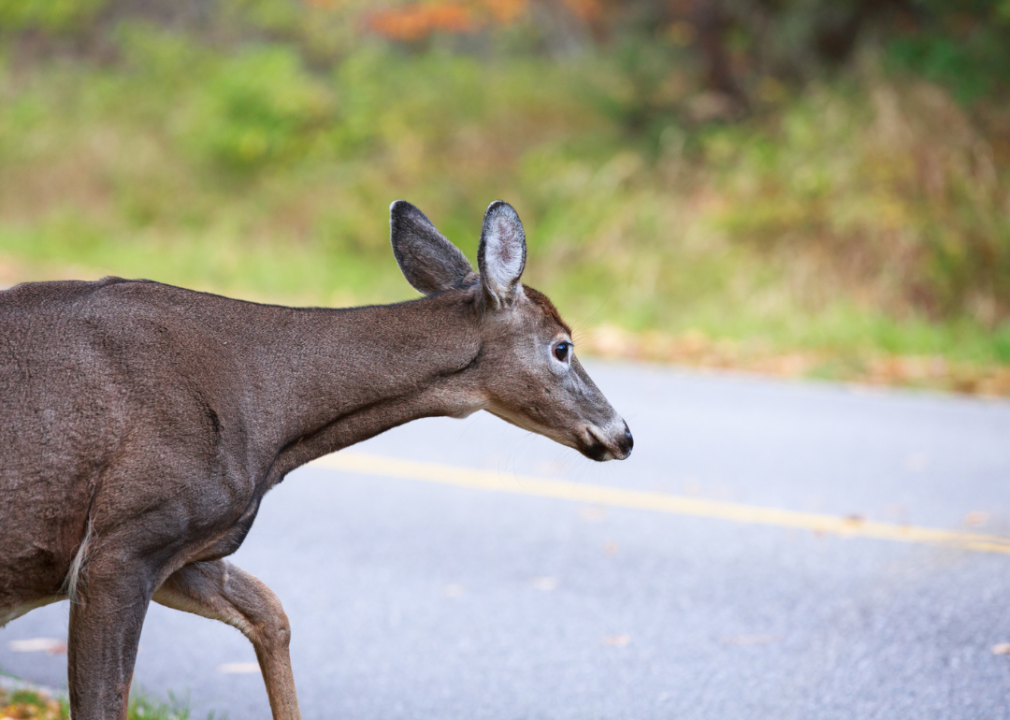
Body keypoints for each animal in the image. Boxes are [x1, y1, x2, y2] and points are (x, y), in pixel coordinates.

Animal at [0, 200, 630, 718]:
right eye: (562, 346)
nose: (623, 434)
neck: (270, 413)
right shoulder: (124, 543)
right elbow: (104, 702)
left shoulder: (181, 548)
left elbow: (271, 614)